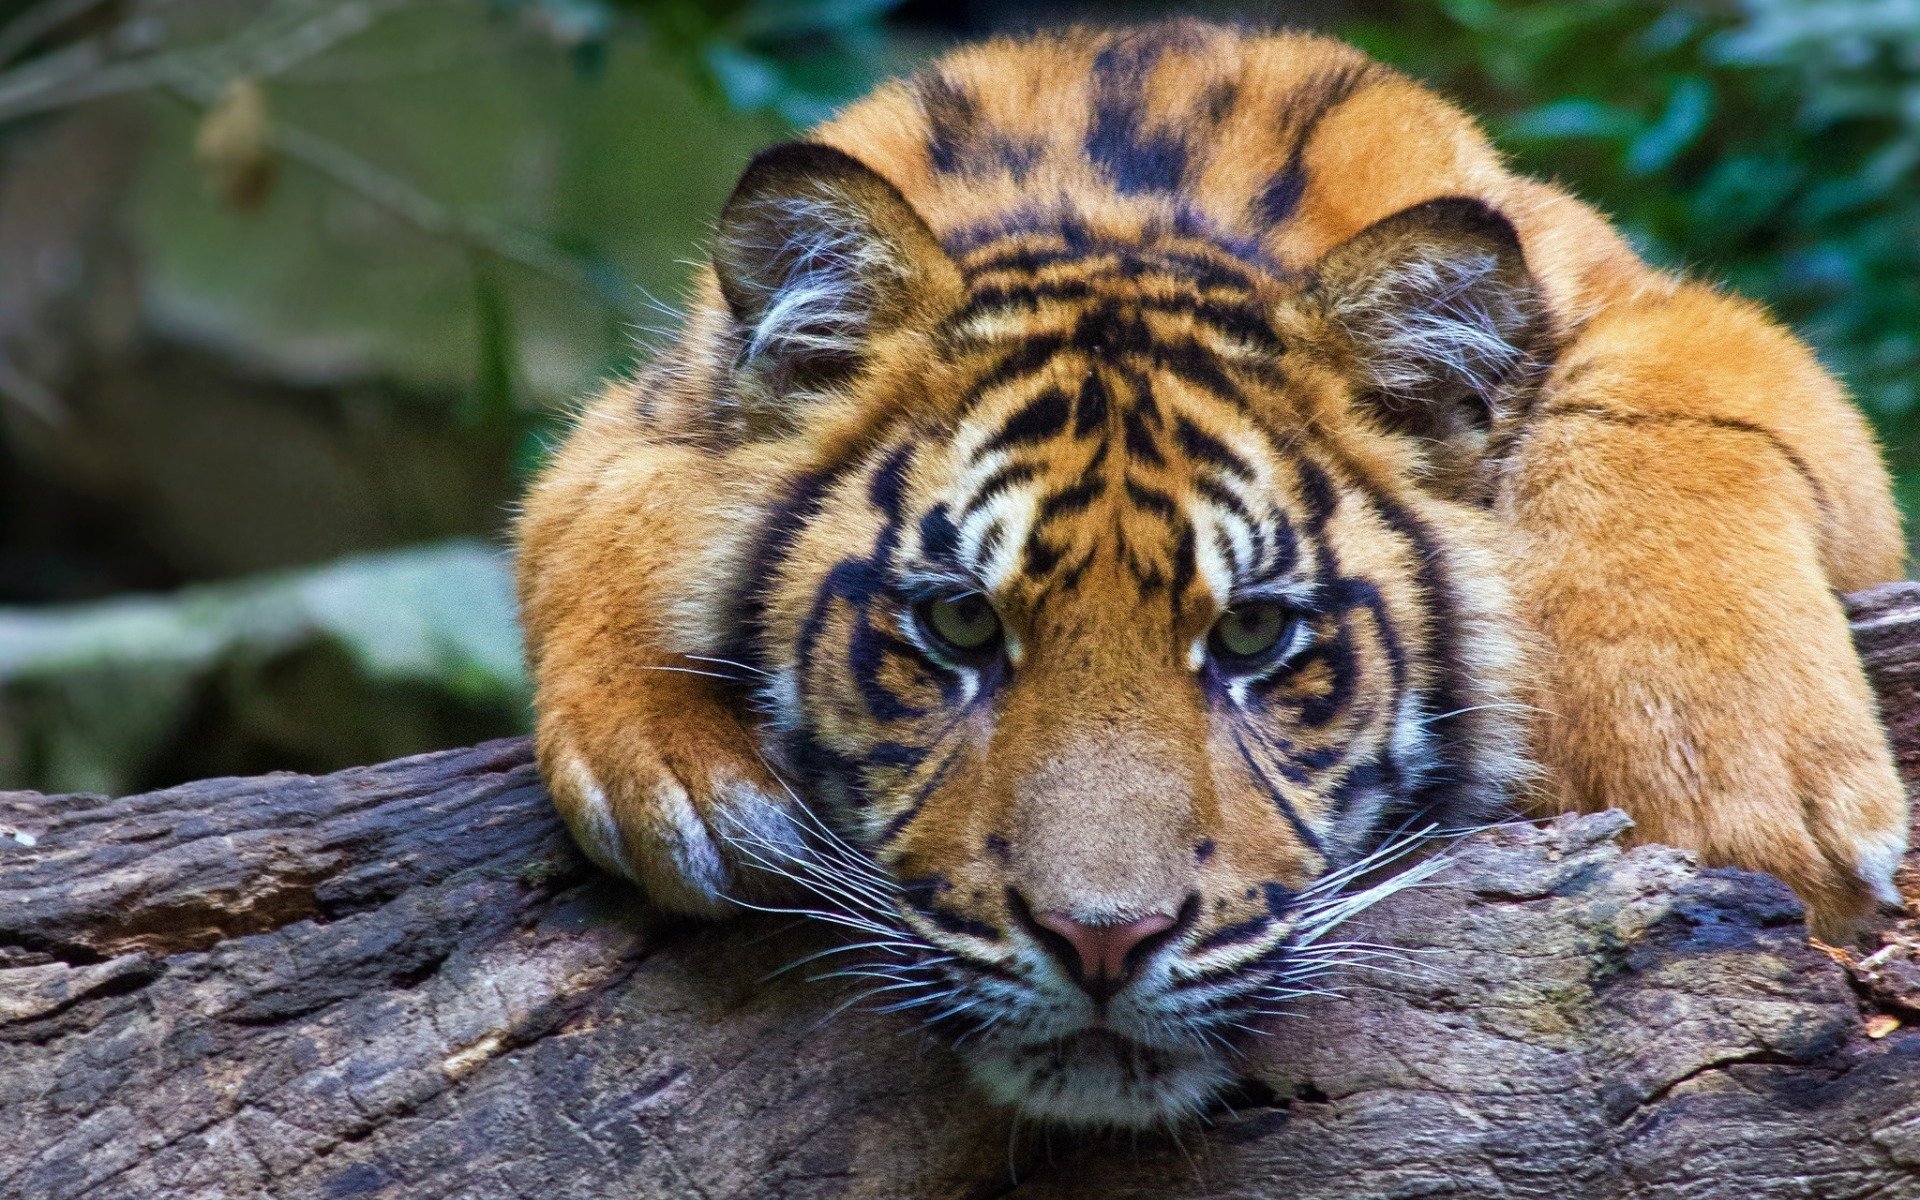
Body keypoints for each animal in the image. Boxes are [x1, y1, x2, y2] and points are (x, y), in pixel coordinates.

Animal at [514, 21, 1911, 1127]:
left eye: (1250, 640)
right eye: (960, 624)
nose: (1101, 941)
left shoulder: (1662, 314)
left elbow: (1668, 401)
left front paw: (1733, 798)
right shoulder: (653, 402)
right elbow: (593, 502)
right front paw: (676, 770)